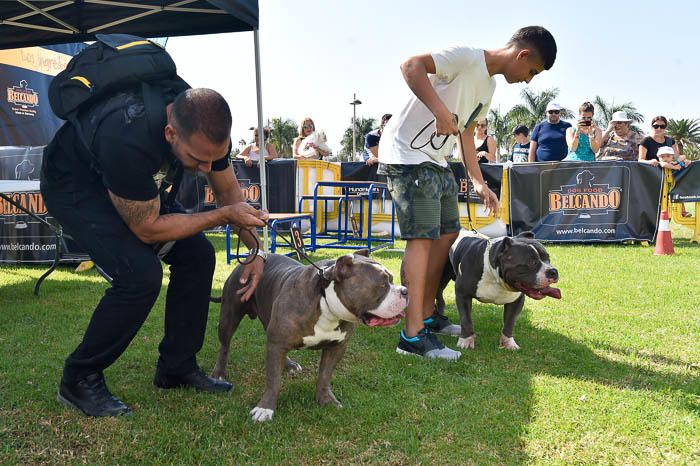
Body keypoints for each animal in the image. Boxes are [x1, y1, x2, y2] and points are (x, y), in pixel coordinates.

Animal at [209, 251, 404, 422]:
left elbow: (324, 376)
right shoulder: (276, 343)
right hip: (229, 316)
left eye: (392, 280)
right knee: (224, 346)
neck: (325, 303)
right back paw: (219, 374)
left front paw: (326, 400)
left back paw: (288, 364)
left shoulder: (337, 347)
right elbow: (273, 380)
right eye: (382, 284)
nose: (405, 291)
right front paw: (265, 408)